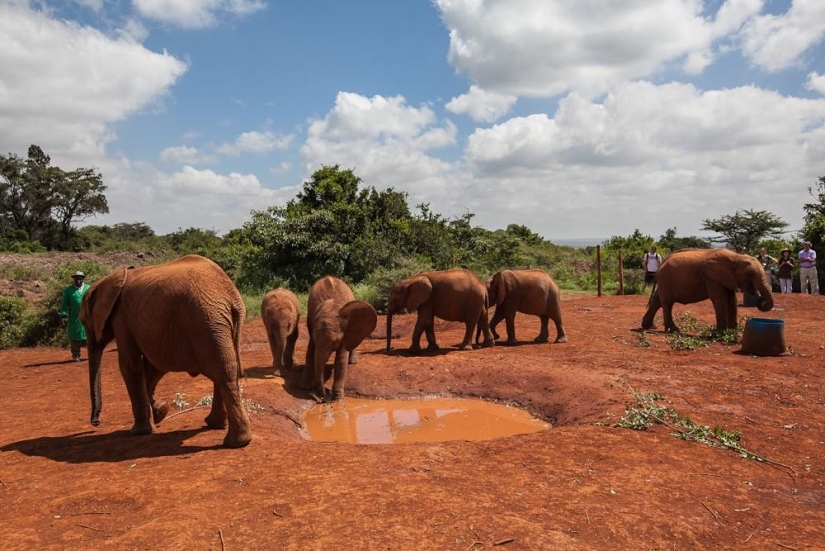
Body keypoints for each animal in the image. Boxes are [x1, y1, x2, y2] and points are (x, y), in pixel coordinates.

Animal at [79, 255, 252, 448]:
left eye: (84, 322)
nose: (96, 423)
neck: (107, 280)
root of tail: (231, 296)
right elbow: (152, 366)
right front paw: (160, 413)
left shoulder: (121, 318)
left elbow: (130, 366)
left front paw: (140, 431)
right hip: (217, 324)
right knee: (226, 368)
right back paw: (217, 426)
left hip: (206, 322)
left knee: (221, 372)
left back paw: (235, 441)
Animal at [641, 248, 774, 333]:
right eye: (750, 275)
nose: (760, 299)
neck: (736, 257)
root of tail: (660, 266)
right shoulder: (711, 277)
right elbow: (720, 299)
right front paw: (719, 333)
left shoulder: (726, 278)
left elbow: (732, 300)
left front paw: (733, 332)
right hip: (666, 280)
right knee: (667, 303)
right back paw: (673, 330)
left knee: (657, 301)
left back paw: (649, 327)